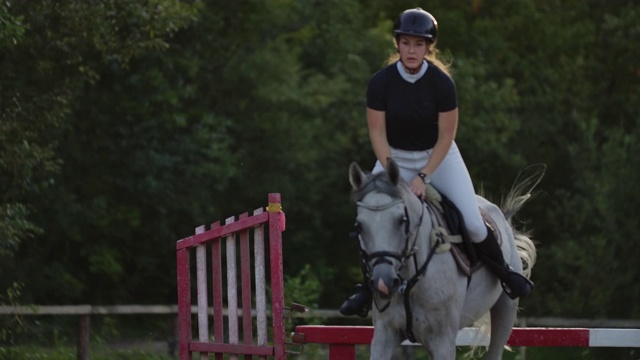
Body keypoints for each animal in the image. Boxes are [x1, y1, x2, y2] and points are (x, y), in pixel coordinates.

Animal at [350, 160, 540, 360]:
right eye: (359, 226)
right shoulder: (385, 334)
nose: (383, 283)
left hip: (506, 308)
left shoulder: (443, 340)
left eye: (401, 220)